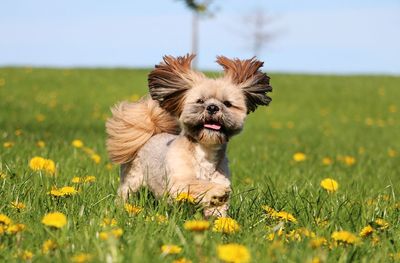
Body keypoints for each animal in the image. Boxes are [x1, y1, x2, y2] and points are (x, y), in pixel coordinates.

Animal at [105, 53, 272, 217]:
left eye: (227, 103)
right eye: (200, 101)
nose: (213, 107)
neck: (205, 153)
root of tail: (152, 134)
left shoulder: (221, 178)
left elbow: (217, 210)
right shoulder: (179, 183)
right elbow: (199, 184)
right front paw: (218, 191)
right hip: (132, 179)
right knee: (124, 193)